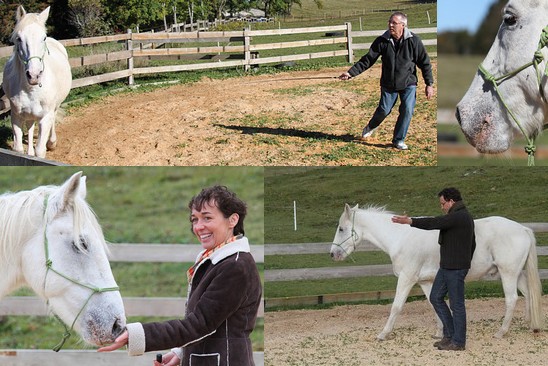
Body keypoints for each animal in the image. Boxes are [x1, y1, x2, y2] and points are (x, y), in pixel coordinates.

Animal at [2, 5, 71, 157]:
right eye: (19, 38)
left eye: (43, 37)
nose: (34, 75)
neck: (31, 89)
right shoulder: (16, 117)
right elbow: (18, 149)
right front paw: (27, 153)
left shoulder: (45, 118)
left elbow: (40, 150)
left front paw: (43, 148)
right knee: (30, 126)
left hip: (54, 107)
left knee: (53, 119)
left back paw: (52, 143)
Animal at [332, 204, 540, 342]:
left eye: (341, 229)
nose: (333, 253)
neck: (401, 237)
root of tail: (522, 228)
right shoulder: (425, 282)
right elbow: (434, 305)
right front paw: (440, 332)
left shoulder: (407, 278)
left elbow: (396, 307)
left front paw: (383, 334)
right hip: (516, 274)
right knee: (527, 293)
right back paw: (529, 324)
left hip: (508, 273)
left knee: (512, 299)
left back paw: (501, 332)